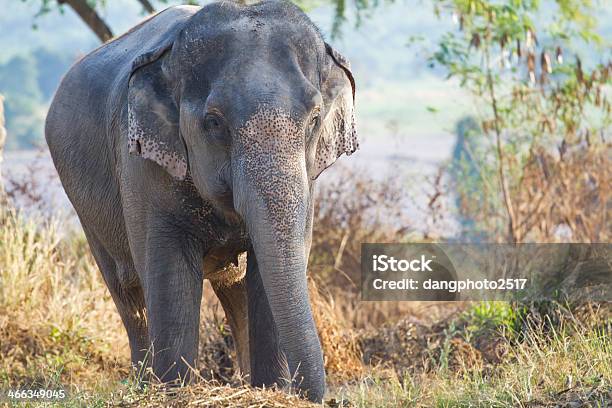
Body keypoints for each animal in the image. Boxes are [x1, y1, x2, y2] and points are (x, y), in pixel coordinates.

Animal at [45, 0, 356, 402]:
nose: (321, 397)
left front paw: (270, 391)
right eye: (214, 122)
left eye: (315, 119)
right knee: (128, 294)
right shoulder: (142, 164)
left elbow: (267, 272)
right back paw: (144, 386)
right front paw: (173, 393)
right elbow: (170, 273)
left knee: (235, 289)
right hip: (85, 205)